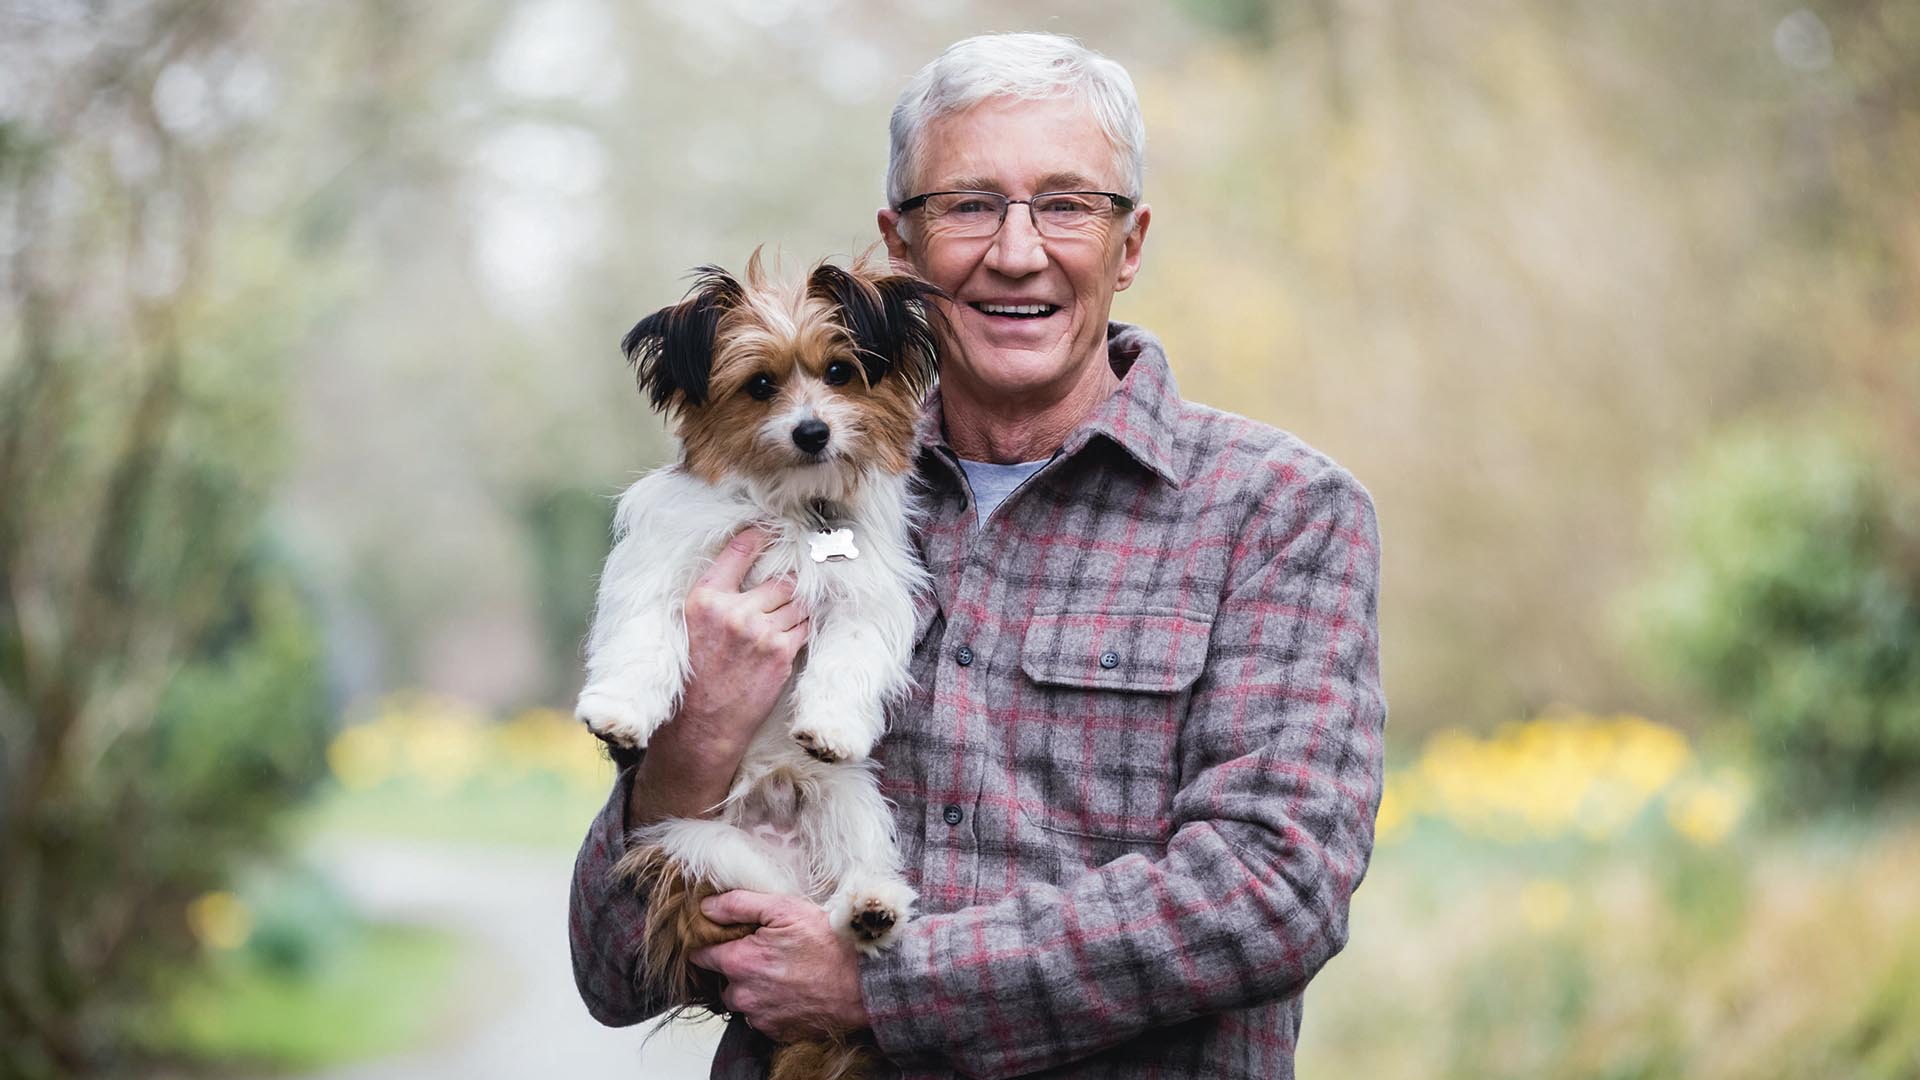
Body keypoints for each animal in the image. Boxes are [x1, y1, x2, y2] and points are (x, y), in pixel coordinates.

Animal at [572, 251, 940, 1076]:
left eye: (839, 372)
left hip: (850, 804)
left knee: (848, 886)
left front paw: (831, 725)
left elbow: (849, 658)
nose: (812, 430)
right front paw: (620, 711)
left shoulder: (866, 597)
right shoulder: (663, 564)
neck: (789, 508)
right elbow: (644, 635)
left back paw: (870, 909)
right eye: (761, 384)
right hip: (705, 854)